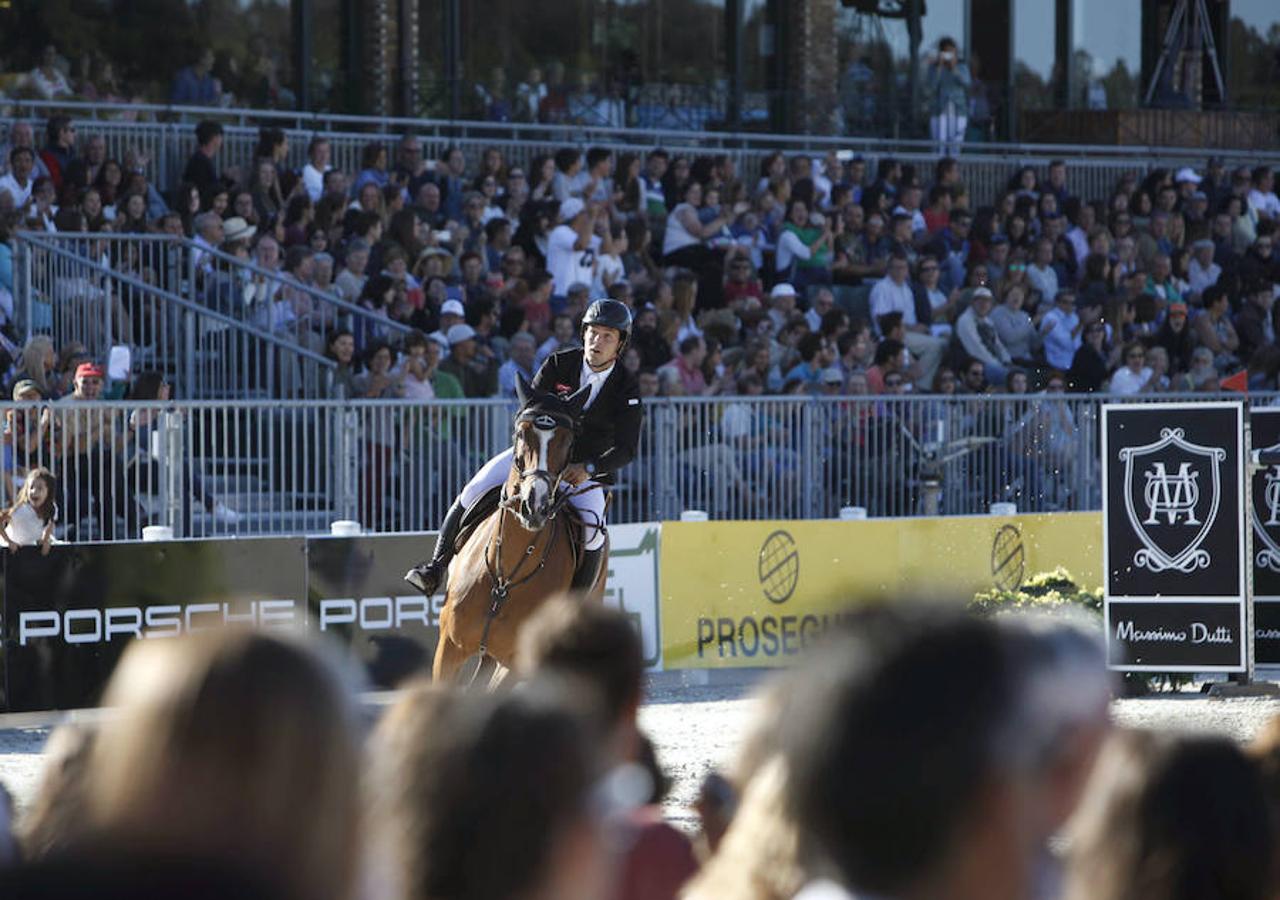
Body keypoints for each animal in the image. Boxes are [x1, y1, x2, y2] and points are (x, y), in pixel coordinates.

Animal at [430, 378, 609, 681]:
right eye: (522, 433)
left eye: (568, 441)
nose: (533, 506)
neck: (505, 577)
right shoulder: (449, 647)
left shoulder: (514, 663)